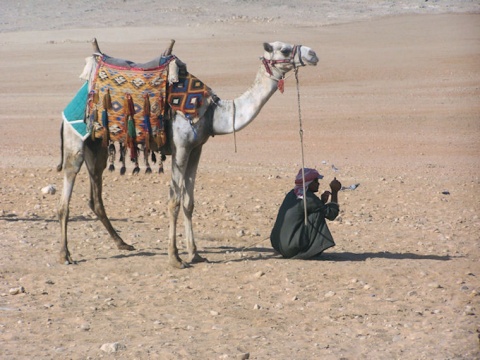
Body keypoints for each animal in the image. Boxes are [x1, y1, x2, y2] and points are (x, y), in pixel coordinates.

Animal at [57, 40, 318, 268]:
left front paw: (195, 254)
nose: (313, 54)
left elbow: (188, 202)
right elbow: (173, 201)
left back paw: (123, 244)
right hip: (75, 141)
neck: (214, 113)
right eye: (284, 50)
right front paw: (175, 258)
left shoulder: (197, 148)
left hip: (97, 147)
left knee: (96, 197)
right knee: (66, 194)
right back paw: (65, 255)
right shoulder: (181, 147)